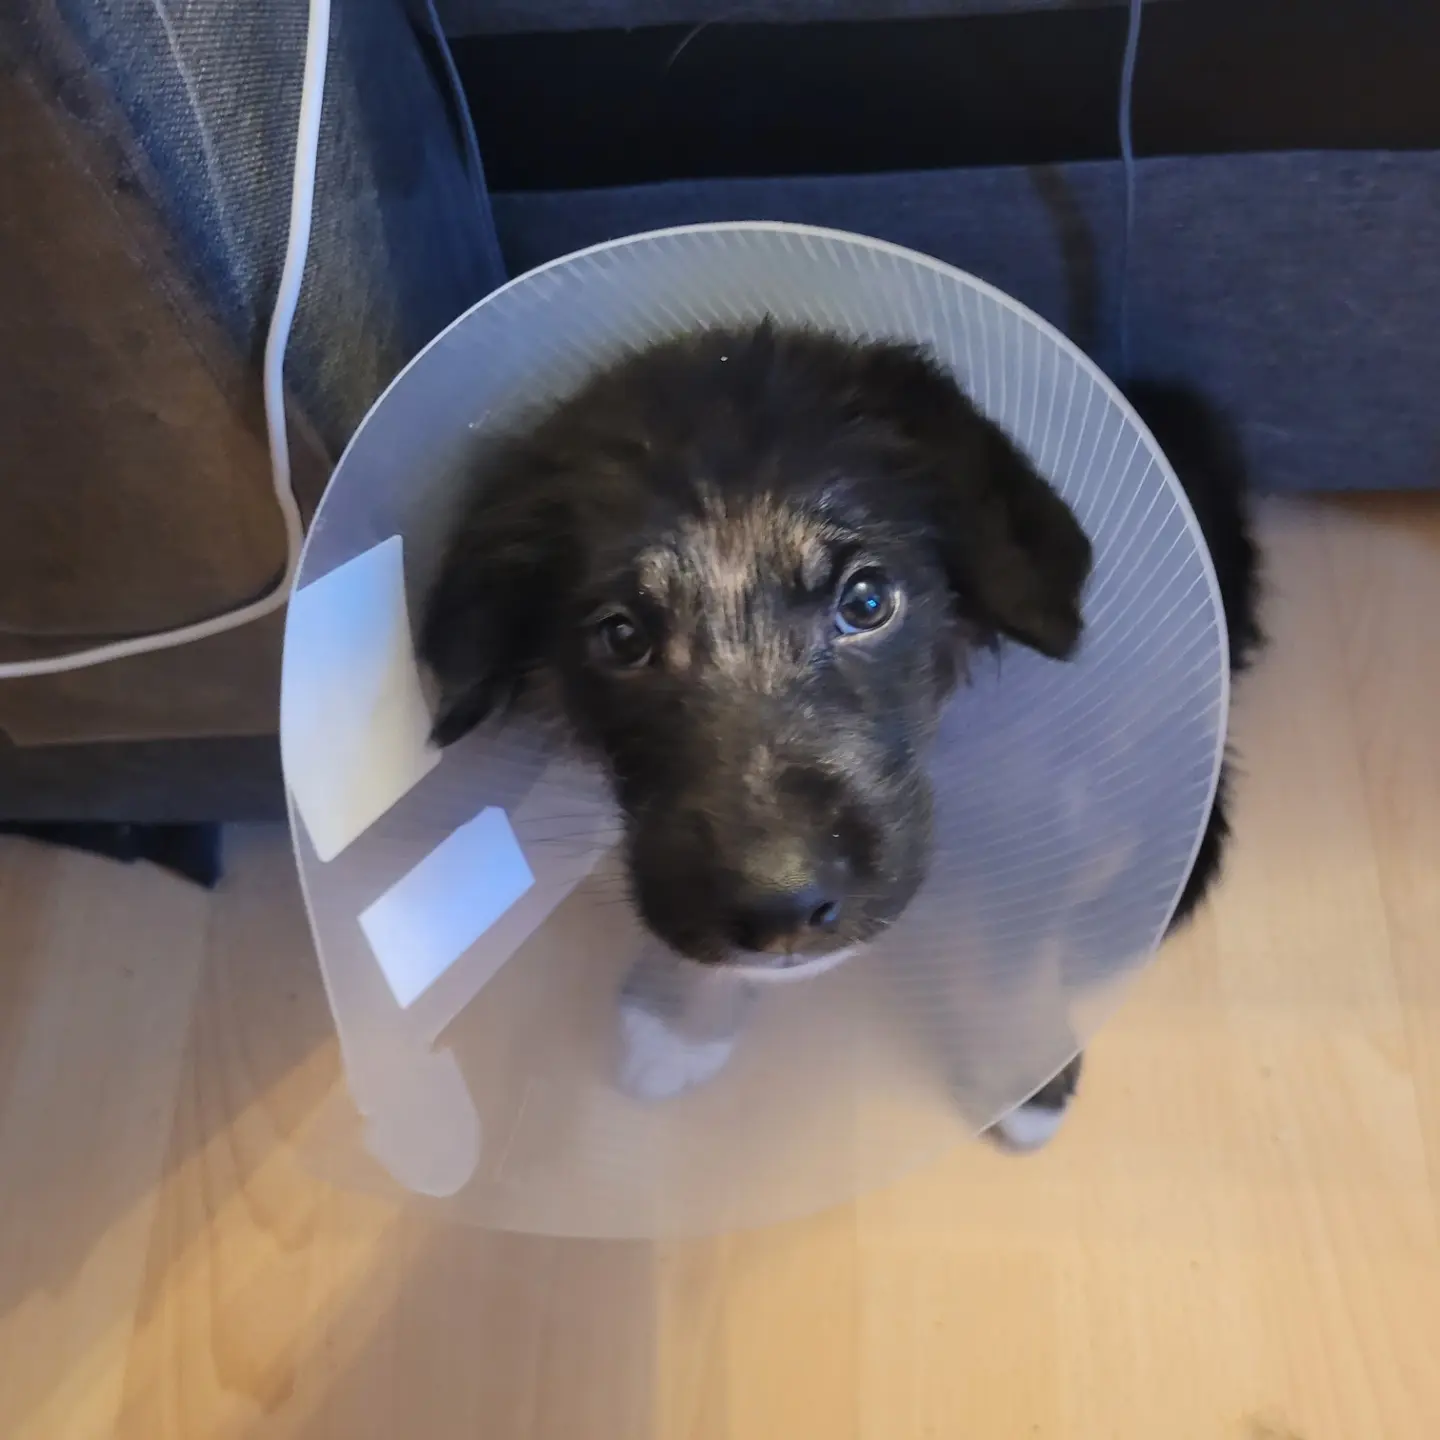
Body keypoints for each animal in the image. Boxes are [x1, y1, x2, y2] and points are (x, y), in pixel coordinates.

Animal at [419, 322, 1261, 1148]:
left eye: (866, 601)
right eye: (622, 637)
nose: (784, 909)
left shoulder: (1042, 795)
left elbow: (1013, 955)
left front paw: (1022, 1073)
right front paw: (681, 1024)